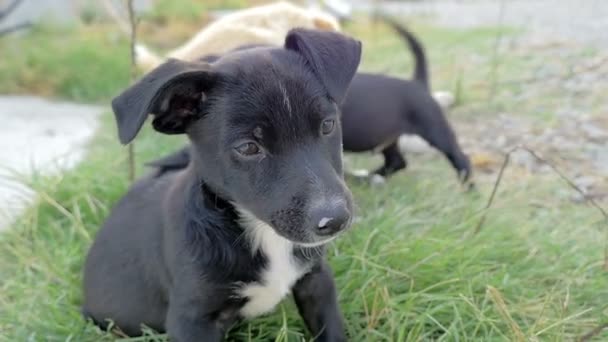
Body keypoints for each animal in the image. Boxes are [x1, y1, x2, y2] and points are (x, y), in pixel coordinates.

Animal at [83, 29, 364, 342]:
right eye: (248, 147)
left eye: (327, 125)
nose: (336, 220)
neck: (260, 233)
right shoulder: (191, 319)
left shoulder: (316, 281)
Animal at [342, 17, 470, 182]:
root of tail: (417, 83)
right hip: (387, 138)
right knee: (398, 162)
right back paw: (367, 178)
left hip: (436, 131)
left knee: (460, 158)